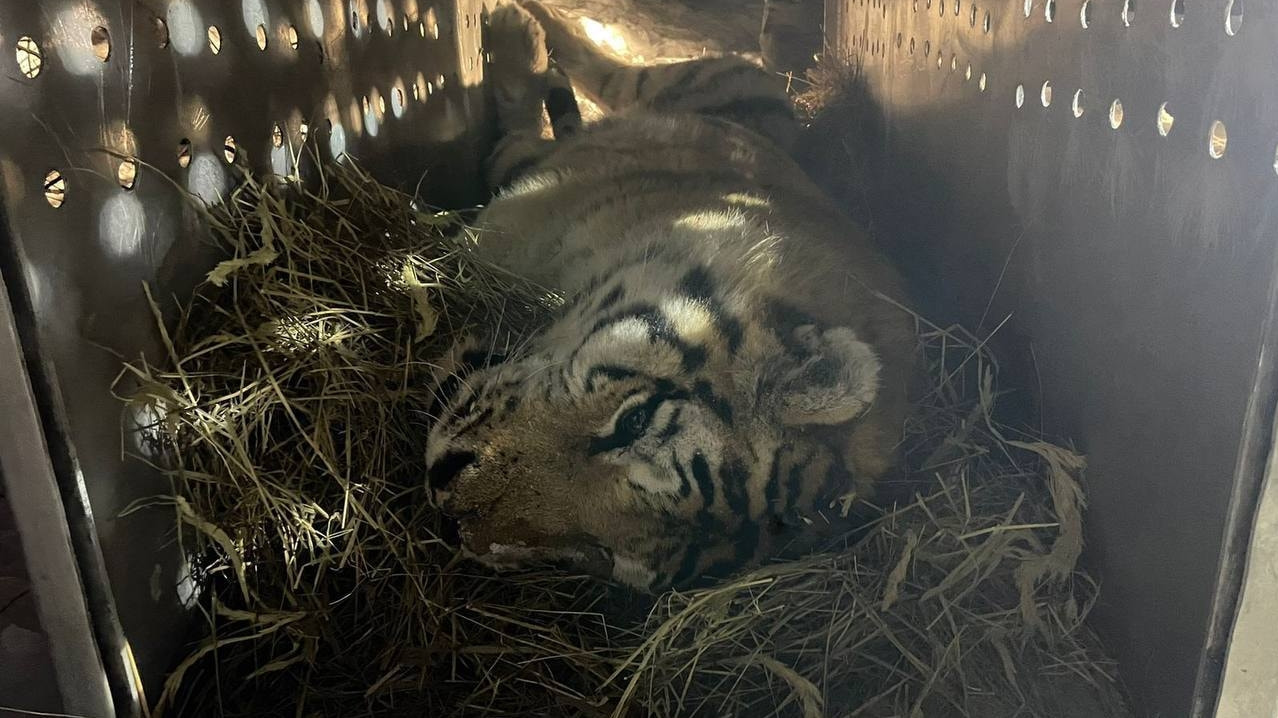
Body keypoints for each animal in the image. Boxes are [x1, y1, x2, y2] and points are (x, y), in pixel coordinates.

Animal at [424, 2, 915, 590]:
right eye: (633, 422)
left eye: (602, 554)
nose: (449, 511)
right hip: (709, 83)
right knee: (604, 74)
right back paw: (519, 26)